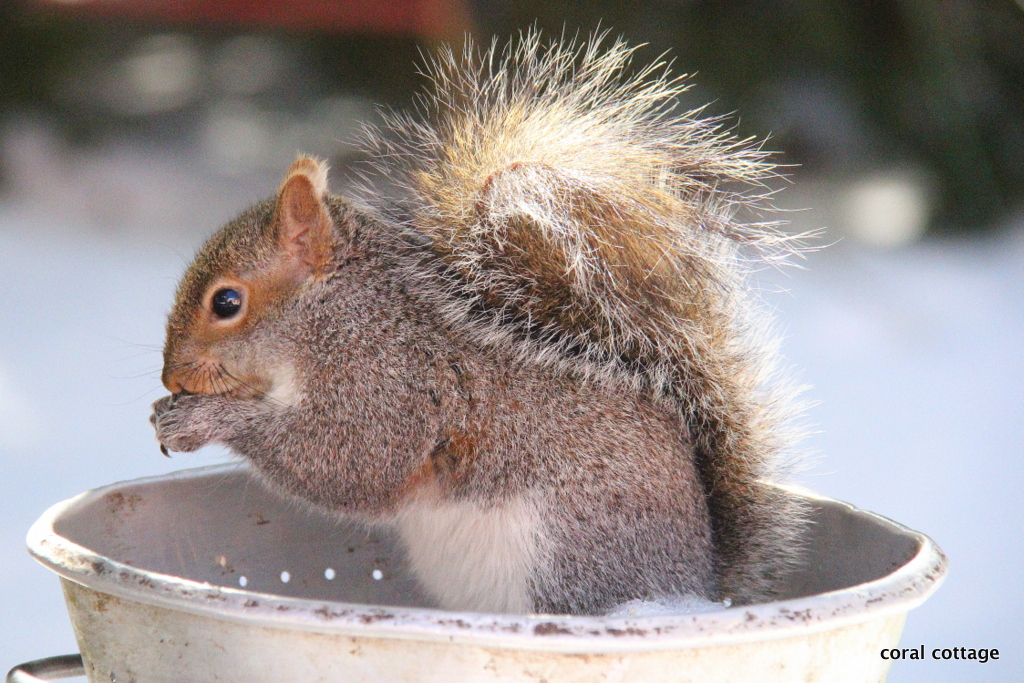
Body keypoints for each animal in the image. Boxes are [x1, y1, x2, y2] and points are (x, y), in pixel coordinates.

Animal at [150, 33, 807, 615]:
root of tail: (698, 583)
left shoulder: (391, 383)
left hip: (568, 560)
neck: (338, 315)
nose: (170, 378)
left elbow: (350, 463)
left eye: (226, 302)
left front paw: (200, 420)